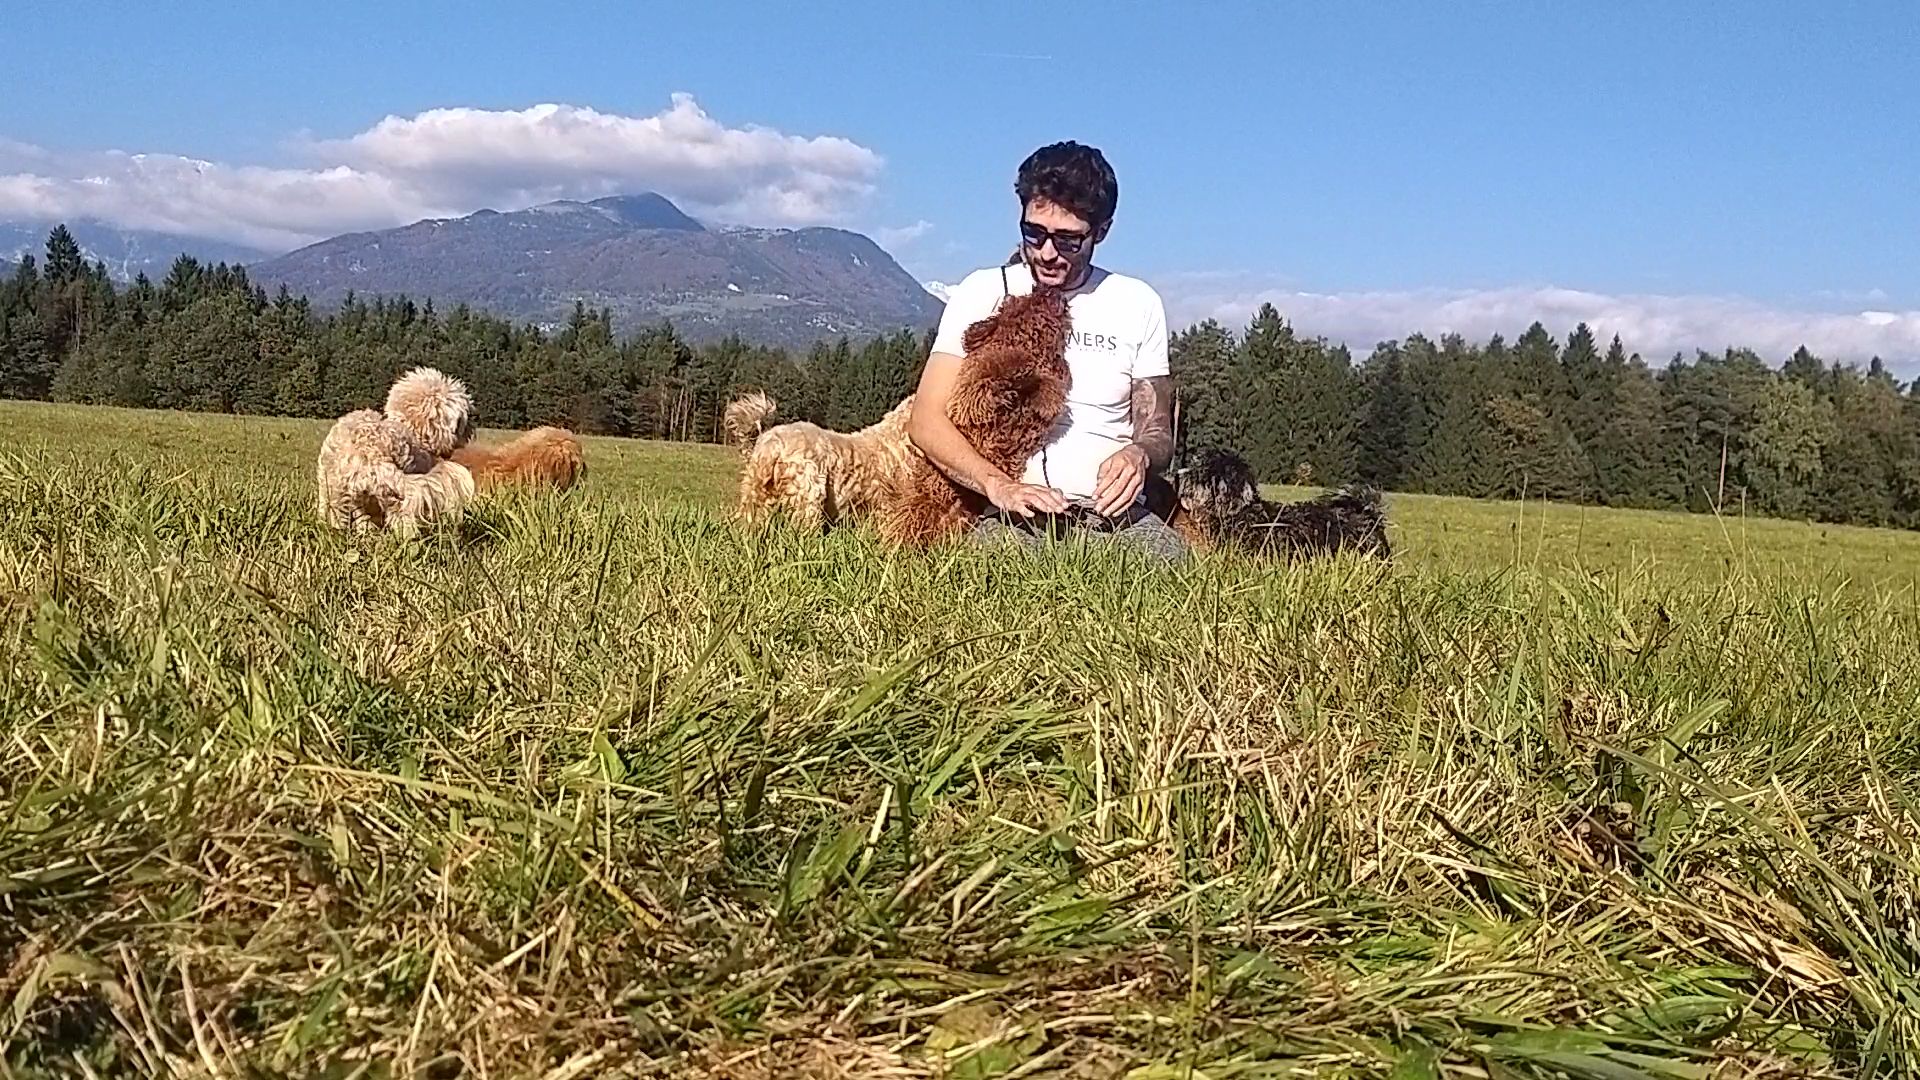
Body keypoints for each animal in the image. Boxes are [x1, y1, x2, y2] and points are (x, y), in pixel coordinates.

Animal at [315, 366, 478, 535]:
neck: (410, 428)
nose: (472, 429)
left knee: (345, 517)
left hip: (338, 492)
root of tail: (369, 454)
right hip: (389, 495)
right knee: (401, 517)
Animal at [878, 287, 1072, 548]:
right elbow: (996, 367)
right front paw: (1017, 364)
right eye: (1031, 295)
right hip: (919, 505)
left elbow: (1049, 390)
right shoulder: (969, 396)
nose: (1052, 290)